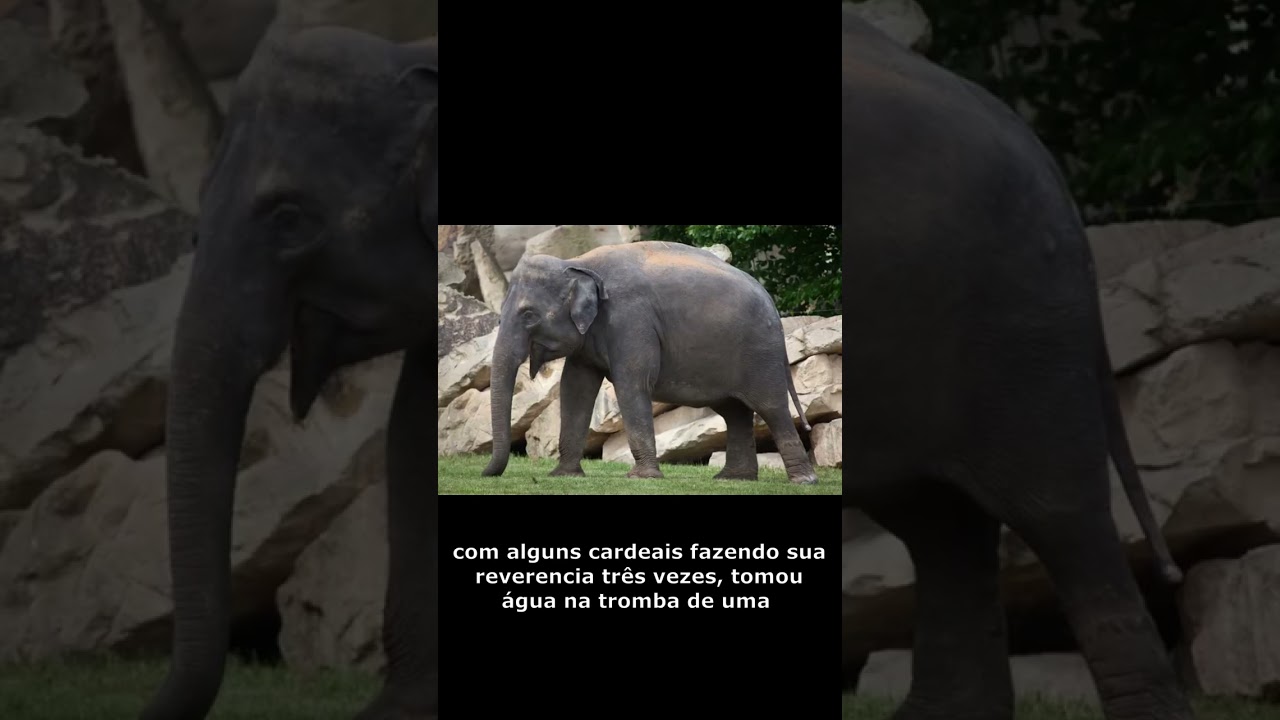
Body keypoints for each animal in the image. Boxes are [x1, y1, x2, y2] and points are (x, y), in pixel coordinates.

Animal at [481, 242, 820, 485]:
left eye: (528, 314)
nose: (485, 474)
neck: (578, 262)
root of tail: (773, 304)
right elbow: (574, 389)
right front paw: (563, 476)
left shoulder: (631, 320)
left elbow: (632, 384)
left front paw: (642, 478)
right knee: (734, 411)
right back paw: (731, 480)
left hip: (760, 352)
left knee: (770, 407)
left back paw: (803, 481)